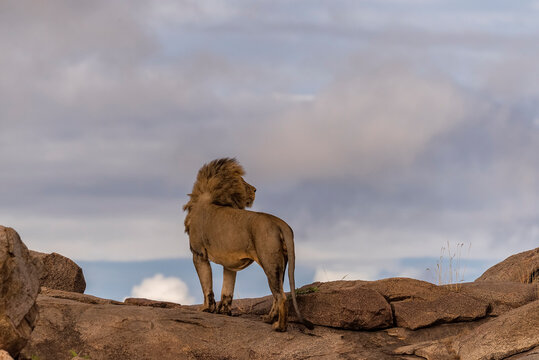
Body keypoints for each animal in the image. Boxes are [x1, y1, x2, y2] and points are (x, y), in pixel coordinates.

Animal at [184, 158, 314, 332]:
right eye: (243, 181)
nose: (255, 189)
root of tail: (280, 222)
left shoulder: (198, 254)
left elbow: (207, 286)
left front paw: (206, 309)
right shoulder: (230, 263)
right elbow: (227, 289)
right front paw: (224, 312)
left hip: (269, 261)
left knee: (281, 297)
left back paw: (279, 327)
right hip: (281, 263)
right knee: (278, 293)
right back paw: (268, 319)